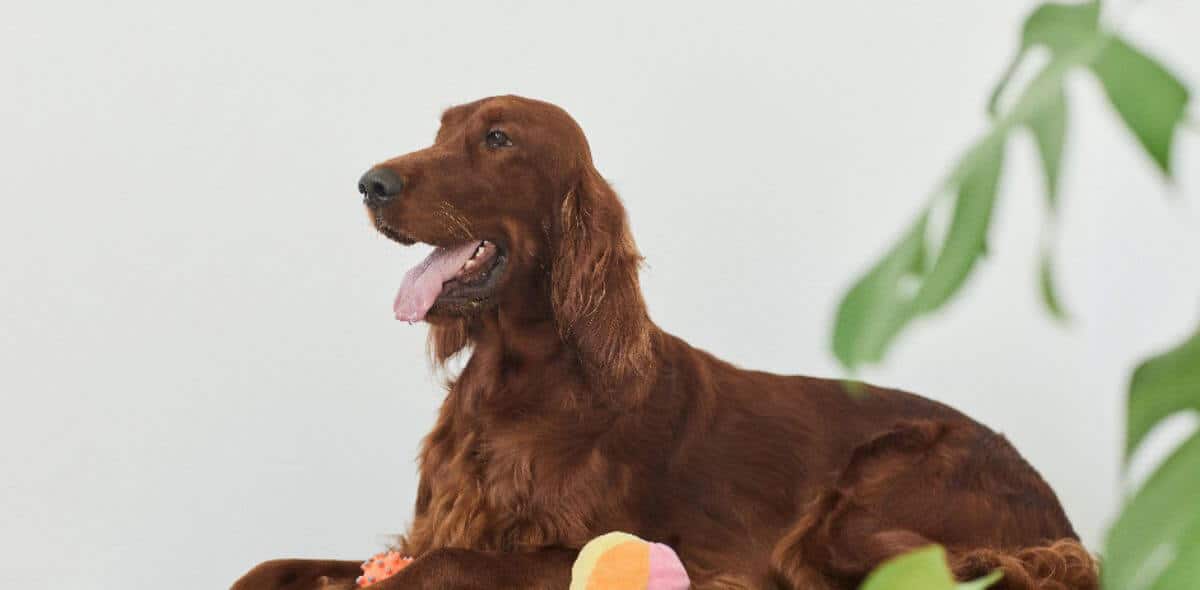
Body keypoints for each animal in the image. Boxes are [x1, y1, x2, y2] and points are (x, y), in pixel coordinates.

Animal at [231, 94, 1099, 587]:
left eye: (498, 139)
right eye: (440, 129)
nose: (371, 184)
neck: (520, 380)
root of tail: (1051, 501)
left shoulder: (575, 546)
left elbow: (439, 567)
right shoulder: (435, 524)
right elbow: (270, 564)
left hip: (853, 512)